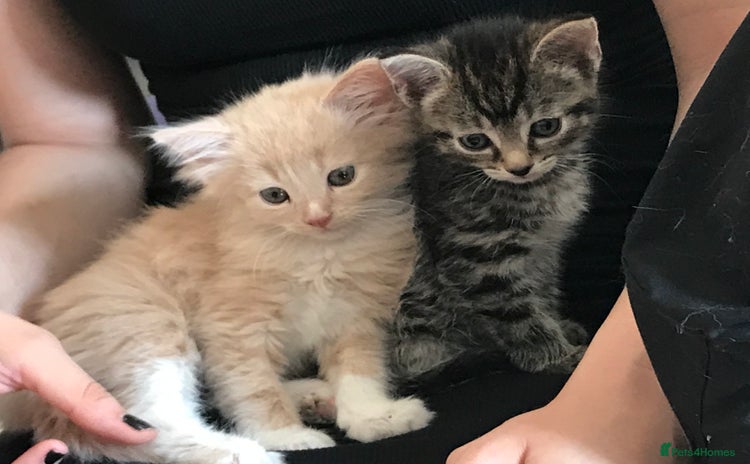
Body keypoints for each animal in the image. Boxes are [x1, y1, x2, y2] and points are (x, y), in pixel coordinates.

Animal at [0, 57, 441, 463]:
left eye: (342, 176)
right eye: (275, 195)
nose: (318, 217)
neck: (317, 256)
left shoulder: (356, 314)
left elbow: (359, 369)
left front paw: (372, 415)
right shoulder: (233, 326)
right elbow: (251, 385)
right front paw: (283, 435)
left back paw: (311, 395)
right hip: (145, 330)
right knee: (150, 424)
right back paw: (239, 451)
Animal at [382, 15, 603, 380]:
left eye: (545, 127)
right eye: (474, 141)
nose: (520, 168)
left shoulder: (545, 249)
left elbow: (542, 289)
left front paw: (558, 326)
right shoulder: (476, 257)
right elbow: (515, 313)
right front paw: (554, 356)